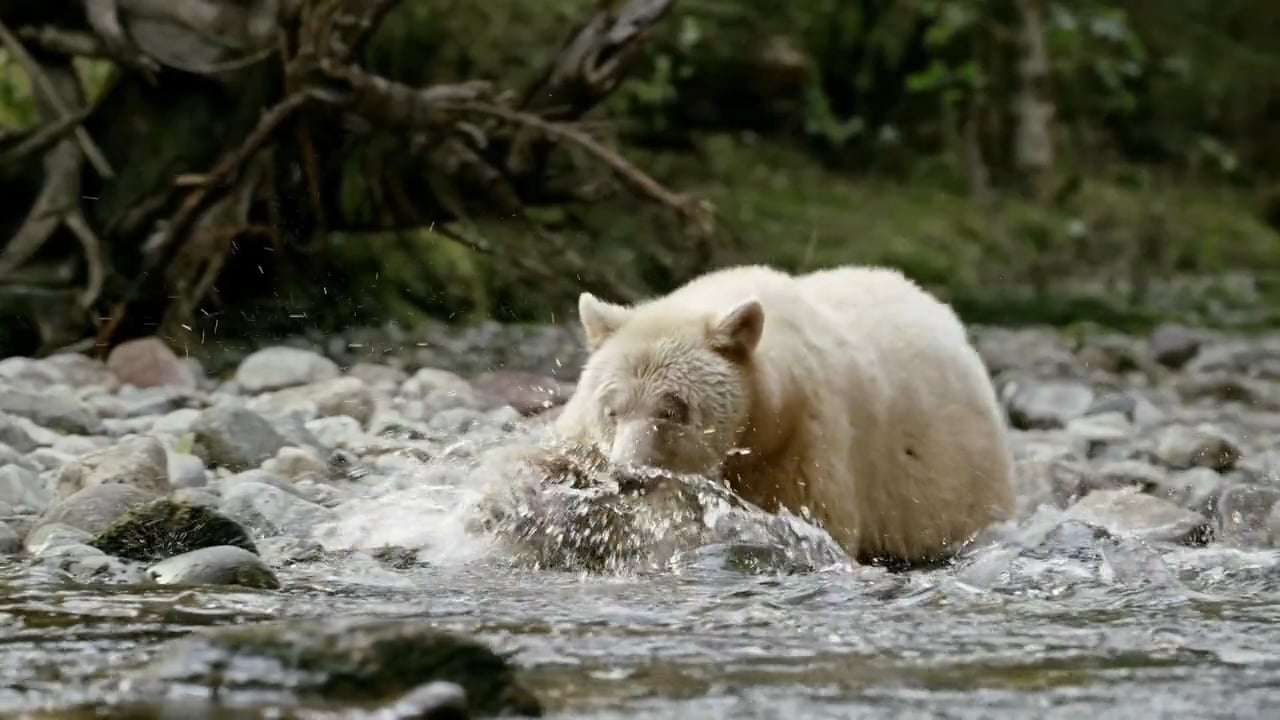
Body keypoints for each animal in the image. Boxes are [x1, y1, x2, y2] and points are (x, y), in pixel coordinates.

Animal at [553, 263, 1015, 566]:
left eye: (671, 411)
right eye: (611, 411)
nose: (627, 475)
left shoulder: (801, 445)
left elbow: (810, 522)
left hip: (953, 476)